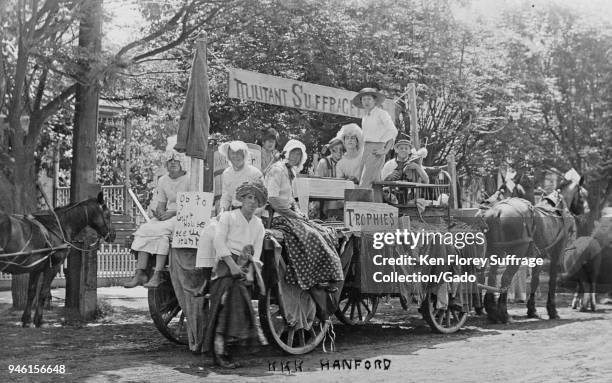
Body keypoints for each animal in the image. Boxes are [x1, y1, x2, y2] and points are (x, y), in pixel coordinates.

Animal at [0, 194, 115, 328]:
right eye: (108, 215)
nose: (113, 235)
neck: (58, 226)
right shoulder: (53, 266)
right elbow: (43, 292)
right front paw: (38, 320)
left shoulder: (36, 268)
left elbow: (32, 292)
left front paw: (26, 319)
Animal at [478, 174, 588, 324]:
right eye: (583, 196)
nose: (585, 213)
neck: (556, 209)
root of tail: (497, 211)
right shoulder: (556, 254)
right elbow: (552, 280)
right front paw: (552, 310)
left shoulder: (538, 256)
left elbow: (535, 280)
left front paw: (532, 310)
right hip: (516, 254)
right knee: (505, 279)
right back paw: (504, 314)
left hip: (494, 251)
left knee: (490, 277)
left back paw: (492, 312)